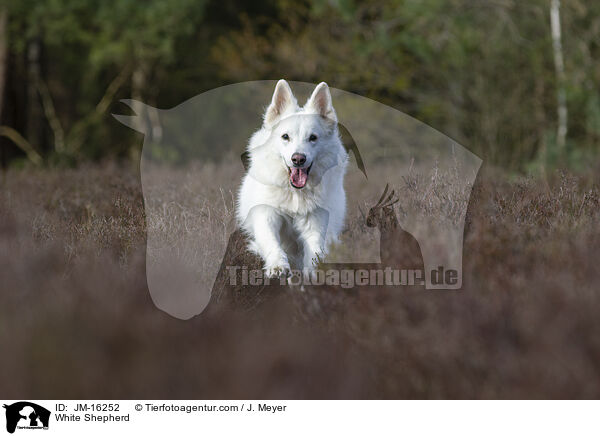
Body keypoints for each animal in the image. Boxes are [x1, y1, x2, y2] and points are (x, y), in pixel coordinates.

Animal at [234, 80, 346, 278]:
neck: (295, 193)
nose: (298, 159)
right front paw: (277, 266)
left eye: (313, 138)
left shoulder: (316, 220)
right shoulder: (266, 214)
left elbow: (314, 250)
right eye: (285, 136)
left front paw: (313, 274)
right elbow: (271, 242)